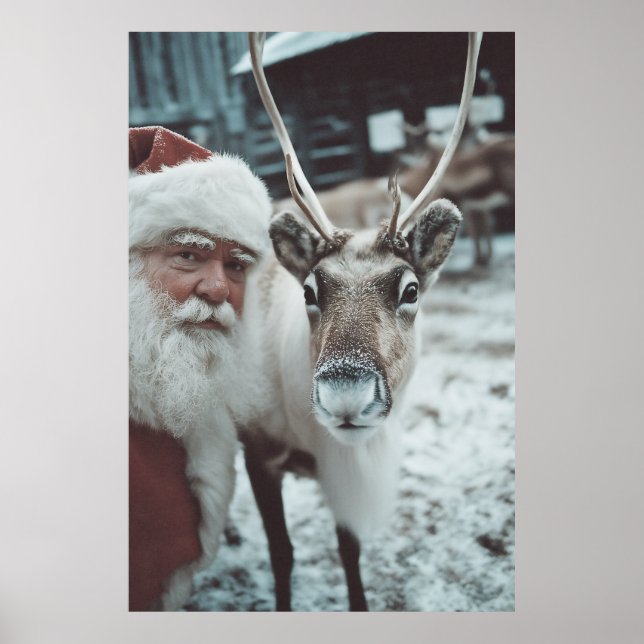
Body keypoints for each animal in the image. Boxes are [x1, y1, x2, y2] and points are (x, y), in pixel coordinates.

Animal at [239, 31, 481, 611]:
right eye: (310, 289)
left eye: (410, 289)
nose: (345, 395)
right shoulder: (258, 453)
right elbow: (282, 553)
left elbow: (349, 552)